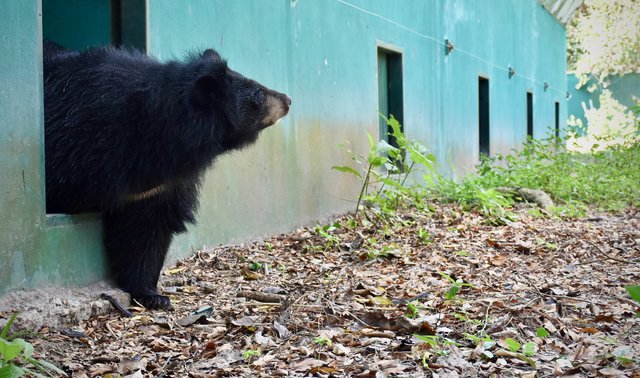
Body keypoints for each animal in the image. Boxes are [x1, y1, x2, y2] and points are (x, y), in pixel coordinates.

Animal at [45, 40, 292, 310]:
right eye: (258, 94)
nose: (287, 99)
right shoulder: (77, 146)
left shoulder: (155, 187)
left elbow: (146, 230)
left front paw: (152, 295)